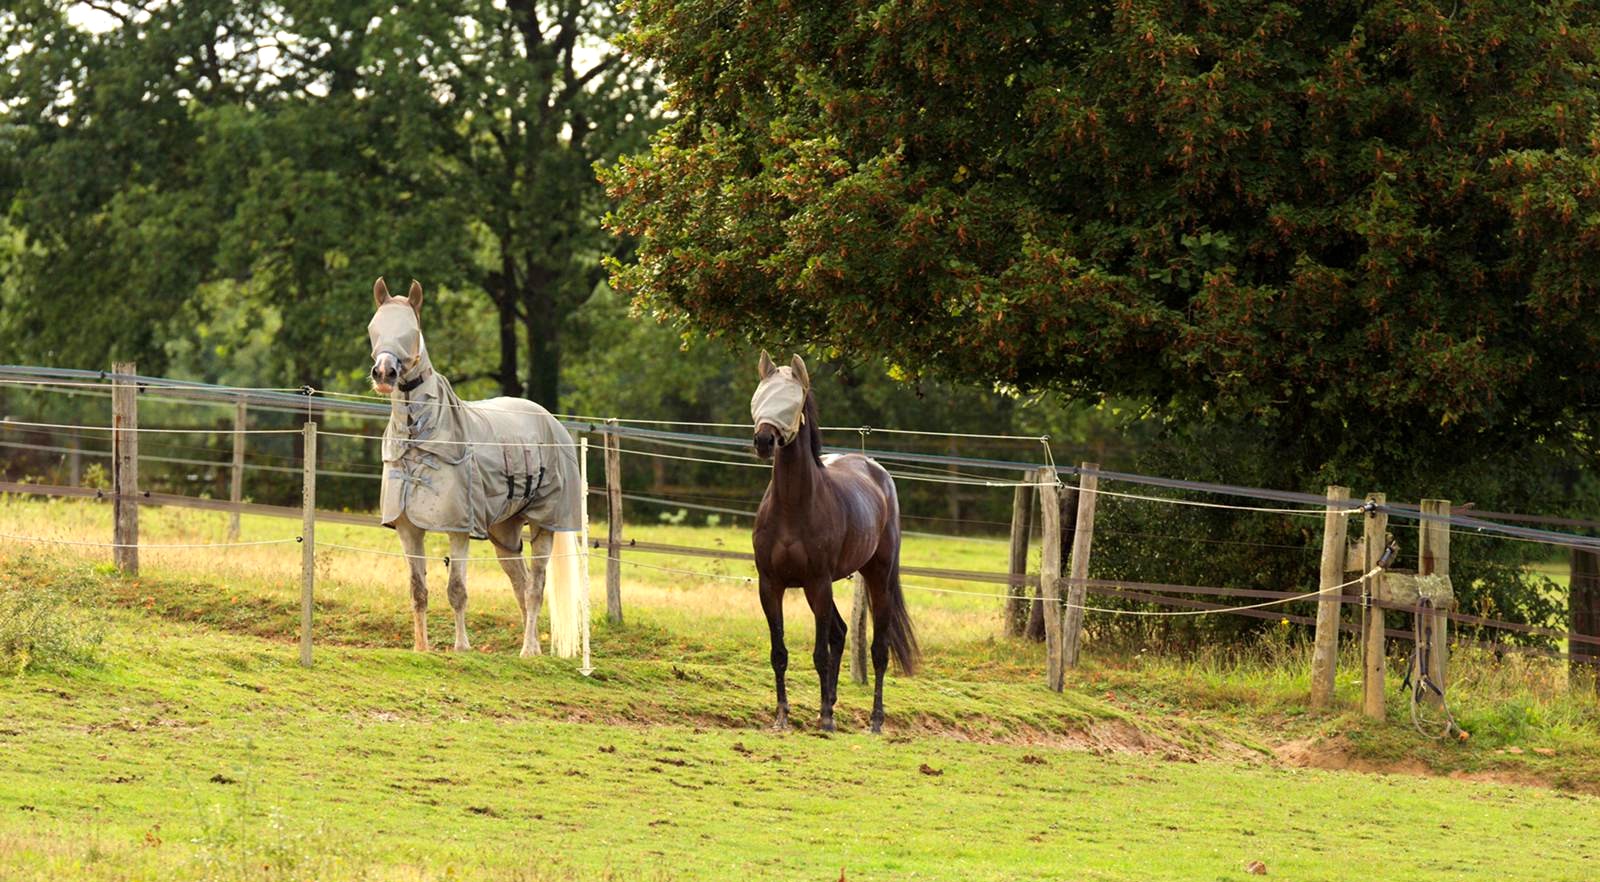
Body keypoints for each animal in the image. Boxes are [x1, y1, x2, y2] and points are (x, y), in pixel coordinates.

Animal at [366, 280, 585, 659]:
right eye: (374, 327)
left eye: (412, 331)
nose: (384, 373)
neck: (421, 440)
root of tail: (551, 421)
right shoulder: (408, 529)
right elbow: (418, 591)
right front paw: (421, 648)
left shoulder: (458, 529)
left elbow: (456, 590)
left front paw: (461, 647)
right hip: (505, 534)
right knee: (521, 585)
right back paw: (532, 647)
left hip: (545, 524)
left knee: (535, 587)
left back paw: (529, 650)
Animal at [745, 352, 915, 733]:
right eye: (759, 396)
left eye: (793, 400)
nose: (764, 441)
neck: (792, 507)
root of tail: (876, 471)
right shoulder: (771, 586)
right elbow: (779, 653)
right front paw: (782, 717)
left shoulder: (818, 582)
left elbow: (820, 653)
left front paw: (824, 719)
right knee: (840, 632)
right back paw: (834, 703)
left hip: (877, 576)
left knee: (878, 649)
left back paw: (874, 720)